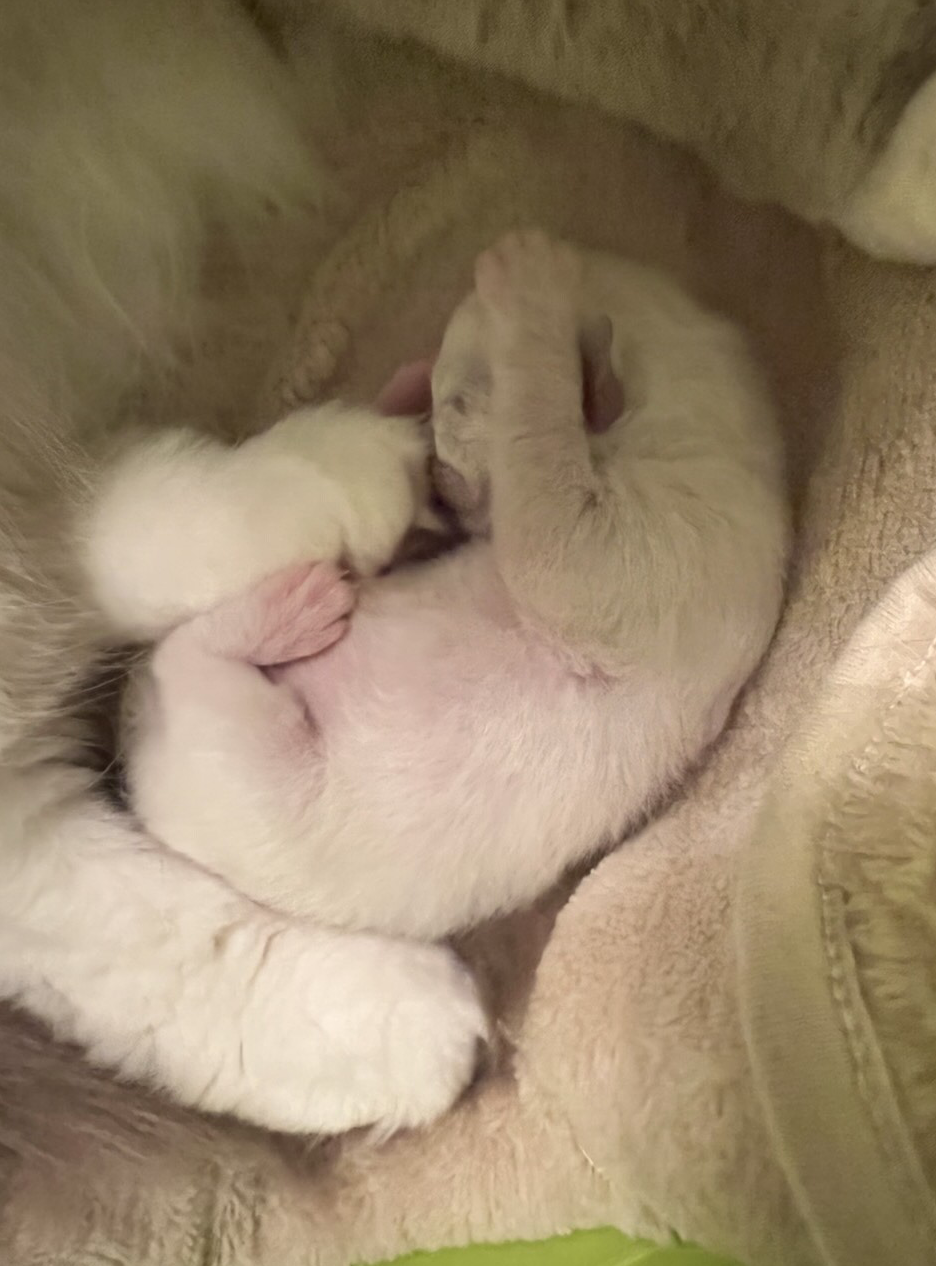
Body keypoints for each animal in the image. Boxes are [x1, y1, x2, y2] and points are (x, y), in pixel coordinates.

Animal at [115, 231, 790, 957]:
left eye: (461, 405)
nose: (437, 488)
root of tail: (132, 747)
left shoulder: (645, 559)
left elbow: (545, 484)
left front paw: (527, 278)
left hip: (245, 753)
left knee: (186, 656)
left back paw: (296, 610)